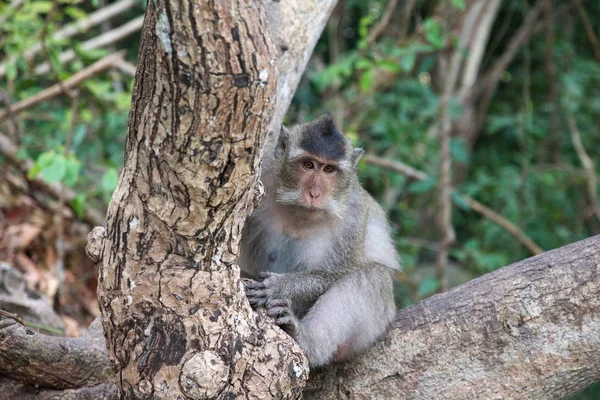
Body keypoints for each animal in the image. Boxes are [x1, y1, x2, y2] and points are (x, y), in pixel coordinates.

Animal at [237, 114, 400, 368]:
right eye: (308, 165)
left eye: (329, 169)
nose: (314, 193)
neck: (300, 212)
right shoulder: (263, 177)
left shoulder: (353, 217)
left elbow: (335, 275)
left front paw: (278, 287)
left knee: (372, 276)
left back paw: (305, 340)